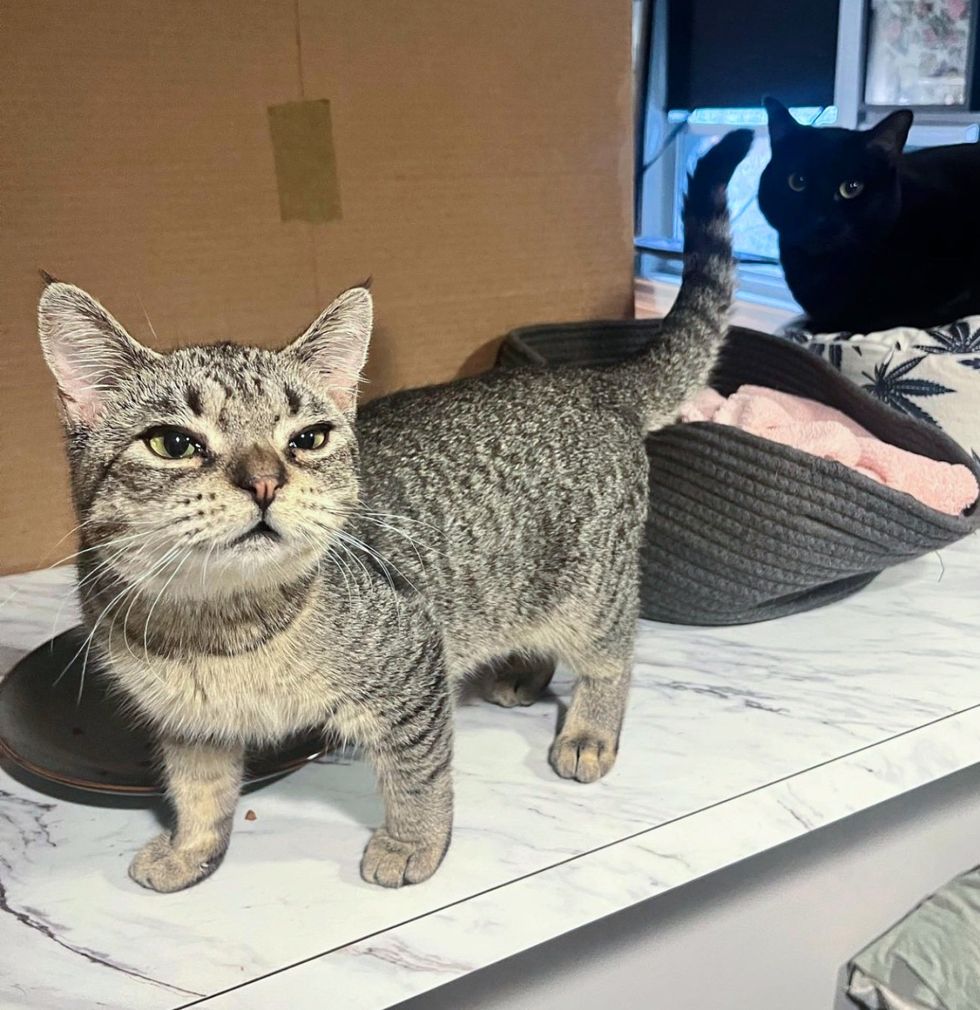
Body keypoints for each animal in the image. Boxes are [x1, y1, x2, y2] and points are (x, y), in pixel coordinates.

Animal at [32, 126, 747, 892]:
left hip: (592, 590)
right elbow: (198, 791)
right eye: (173, 443)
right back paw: (521, 671)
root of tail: (591, 379)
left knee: (613, 655)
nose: (264, 482)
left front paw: (412, 845)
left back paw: (588, 730)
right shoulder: (190, 727)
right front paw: (190, 851)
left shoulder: (413, 664)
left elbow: (418, 776)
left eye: (308, 439)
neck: (217, 630)